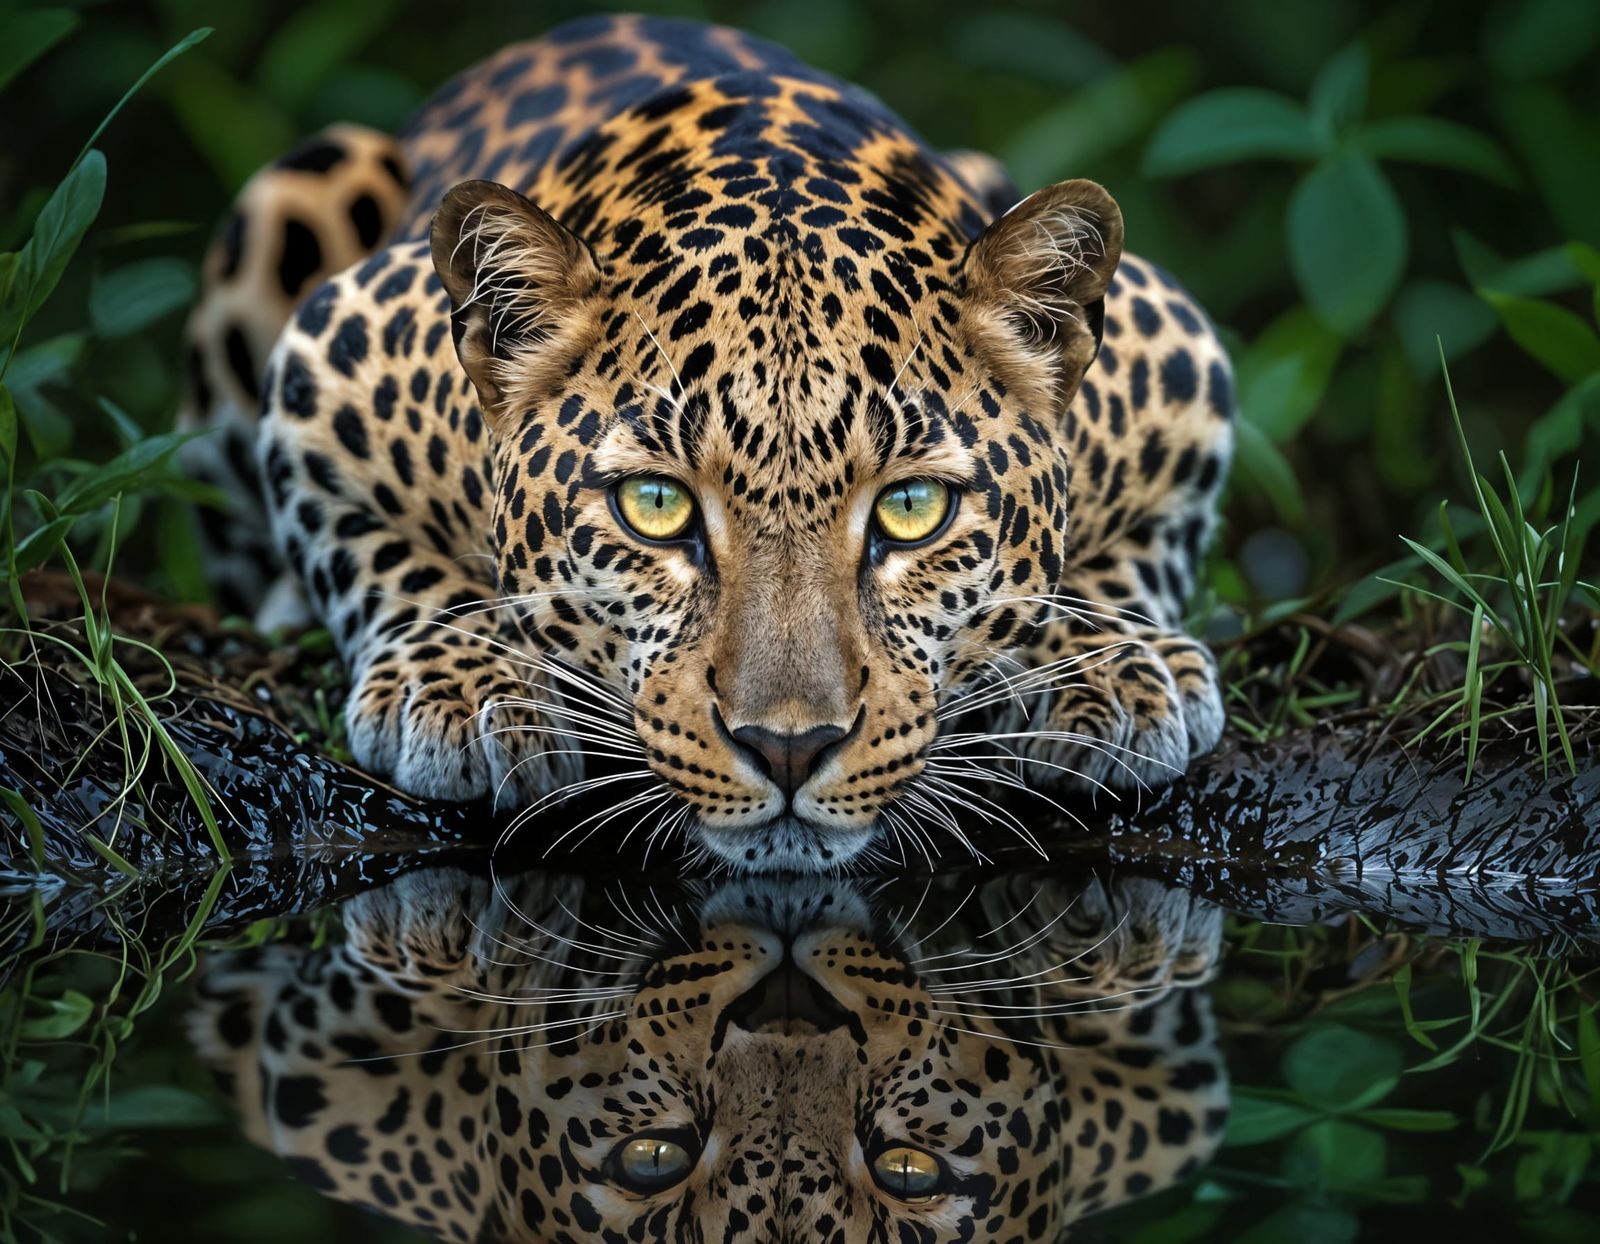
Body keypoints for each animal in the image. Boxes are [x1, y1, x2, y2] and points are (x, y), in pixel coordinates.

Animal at [180, 14, 1235, 870]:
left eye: (912, 508)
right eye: (656, 506)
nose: (789, 746)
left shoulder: (1182, 359)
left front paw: (1108, 667)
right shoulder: (330, 352)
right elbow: (373, 539)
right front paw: (468, 685)